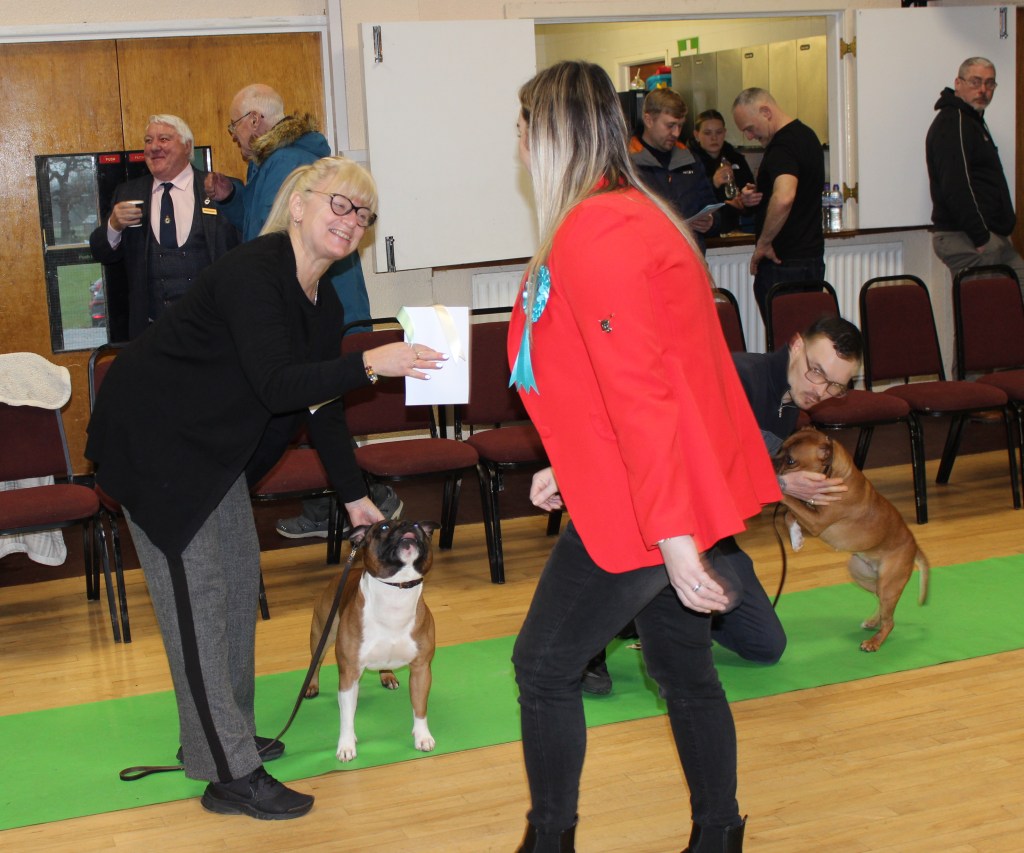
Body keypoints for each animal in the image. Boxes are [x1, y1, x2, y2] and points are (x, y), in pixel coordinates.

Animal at [305, 519, 438, 761]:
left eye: (418, 525)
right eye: (384, 528)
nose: (407, 526)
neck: (396, 590)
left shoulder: (421, 669)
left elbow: (420, 707)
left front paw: (423, 736)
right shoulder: (349, 674)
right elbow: (347, 716)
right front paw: (346, 745)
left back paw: (387, 676)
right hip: (321, 633)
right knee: (315, 662)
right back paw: (311, 686)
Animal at [775, 427, 929, 652]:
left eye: (791, 460)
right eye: (780, 449)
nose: (771, 461)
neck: (837, 474)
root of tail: (914, 547)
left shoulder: (816, 521)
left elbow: (789, 501)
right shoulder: (809, 510)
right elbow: (789, 513)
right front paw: (796, 538)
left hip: (889, 583)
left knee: (890, 621)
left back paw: (874, 642)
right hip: (863, 575)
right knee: (882, 605)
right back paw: (873, 622)